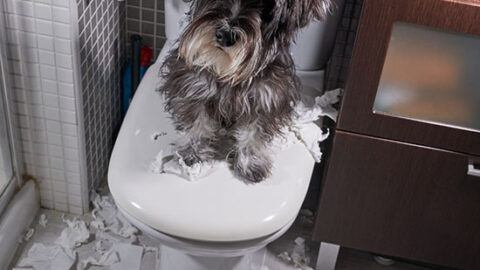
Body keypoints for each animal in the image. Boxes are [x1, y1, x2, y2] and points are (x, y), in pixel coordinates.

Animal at [159, 0, 332, 182]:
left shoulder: (266, 99)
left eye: (267, 8)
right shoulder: (194, 89)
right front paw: (192, 155)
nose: (225, 36)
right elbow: (197, 125)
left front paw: (251, 163)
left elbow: (255, 133)